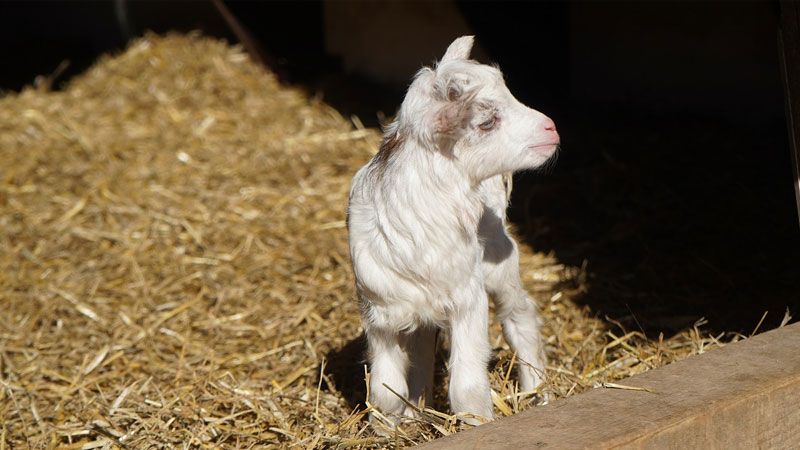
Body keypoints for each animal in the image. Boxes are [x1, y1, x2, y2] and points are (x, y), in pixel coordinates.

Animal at [347, 36, 559, 426]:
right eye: (487, 121)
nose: (551, 127)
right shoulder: (379, 314)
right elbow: (385, 388)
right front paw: (389, 427)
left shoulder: (468, 298)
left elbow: (467, 385)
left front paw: (478, 424)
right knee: (421, 347)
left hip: (499, 259)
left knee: (519, 314)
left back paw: (538, 392)